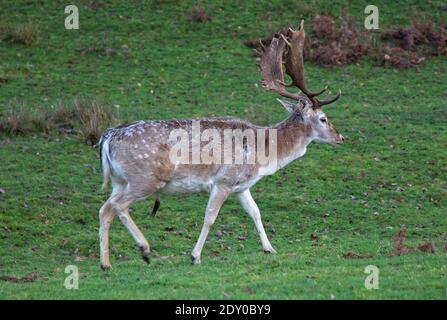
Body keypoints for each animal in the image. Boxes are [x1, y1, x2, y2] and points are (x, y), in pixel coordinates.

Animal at [97, 20, 344, 270]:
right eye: (323, 118)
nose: (340, 137)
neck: (263, 155)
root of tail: (108, 137)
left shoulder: (242, 185)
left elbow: (255, 212)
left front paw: (270, 248)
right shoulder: (224, 180)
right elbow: (210, 217)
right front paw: (195, 256)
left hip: (120, 180)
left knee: (104, 209)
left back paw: (106, 263)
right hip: (146, 178)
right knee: (117, 206)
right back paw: (144, 249)